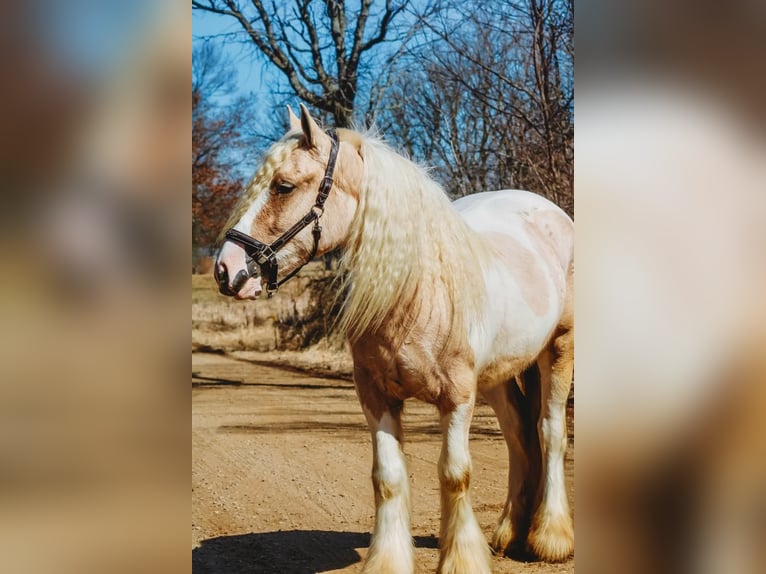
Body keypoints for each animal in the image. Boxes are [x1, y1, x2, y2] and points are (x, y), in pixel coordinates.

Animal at [215, 105, 574, 574]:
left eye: (284, 186)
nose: (226, 270)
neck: (415, 289)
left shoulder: (457, 398)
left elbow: (455, 473)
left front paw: (461, 559)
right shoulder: (375, 395)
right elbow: (387, 478)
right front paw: (386, 560)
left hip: (559, 350)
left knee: (550, 433)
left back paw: (550, 537)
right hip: (498, 377)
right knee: (519, 438)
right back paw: (509, 532)